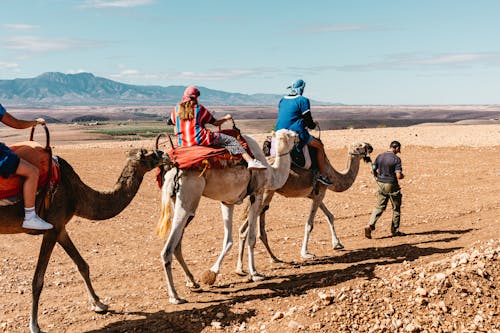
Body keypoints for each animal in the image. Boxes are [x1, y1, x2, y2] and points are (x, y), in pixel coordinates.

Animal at [0, 148, 168, 332]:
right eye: (149, 154)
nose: (166, 155)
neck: (76, 194)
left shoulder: (60, 228)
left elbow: (82, 265)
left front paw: (99, 304)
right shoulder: (51, 228)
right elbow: (37, 280)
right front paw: (34, 325)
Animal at [156, 127, 296, 304]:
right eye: (290, 134)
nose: (299, 136)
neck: (271, 173)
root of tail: (173, 169)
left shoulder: (227, 202)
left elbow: (228, 240)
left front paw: (213, 272)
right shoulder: (256, 194)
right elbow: (251, 238)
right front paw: (255, 273)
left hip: (178, 202)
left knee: (177, 245)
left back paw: (192, 282)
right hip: (187, 199)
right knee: (167, 249)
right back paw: (175, 296)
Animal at [236, 141, 374, 272]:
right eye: (360, 146)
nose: (370, 146)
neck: (332, 175)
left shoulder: (314, 195)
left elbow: (330, 216)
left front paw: (337, 243)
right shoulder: (320, 192)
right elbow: (309, 224)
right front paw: (306, 253)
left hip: (266, 194)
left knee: (259, 227)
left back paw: (271, 259)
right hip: (266, 192)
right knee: (245, 229)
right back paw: (242, 269)